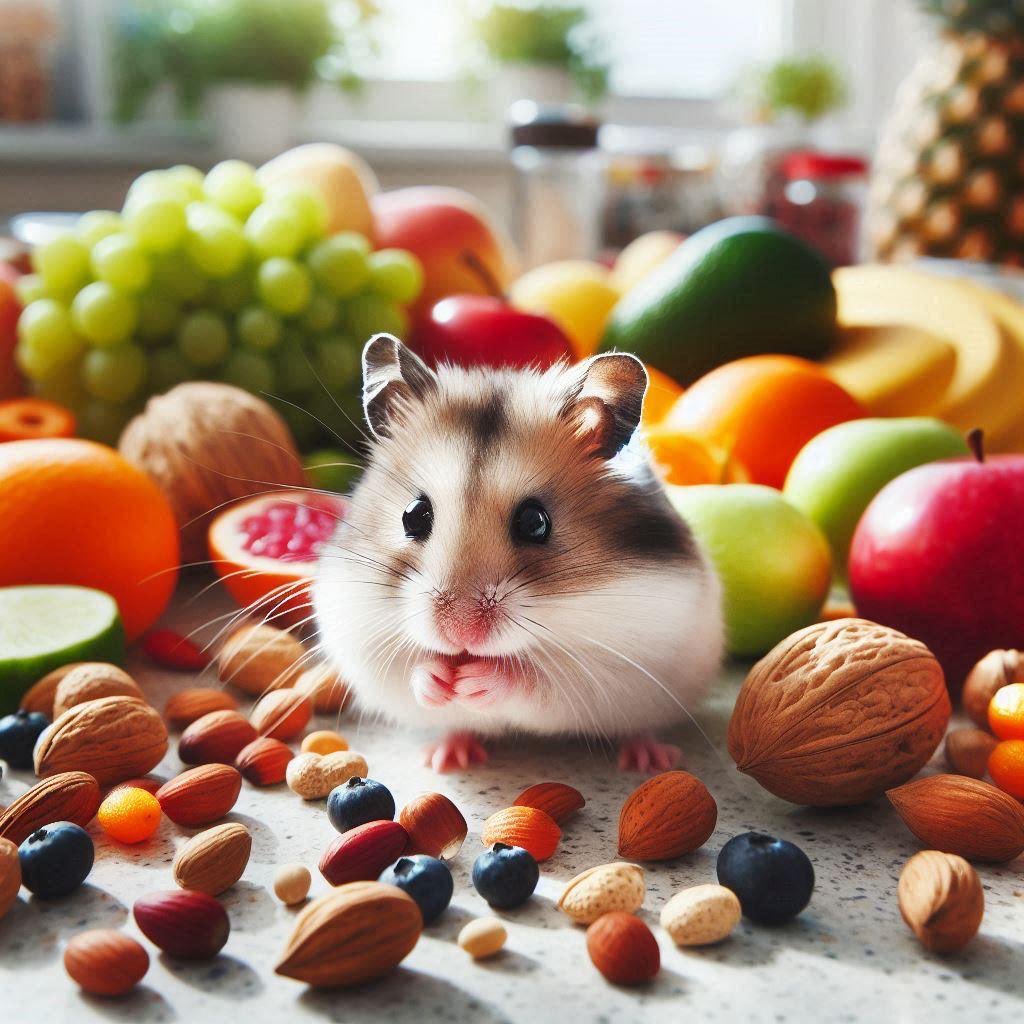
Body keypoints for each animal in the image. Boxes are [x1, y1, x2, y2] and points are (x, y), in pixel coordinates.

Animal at [313, 334, 724, 772]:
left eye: (535, 523)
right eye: (413, 515)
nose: (459, 633)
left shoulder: (611, 668)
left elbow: (536, 682)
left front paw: (478, 681)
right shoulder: (363, 637)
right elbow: (410, 670)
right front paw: (437, 680)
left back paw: (650, 760)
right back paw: (446, 757)